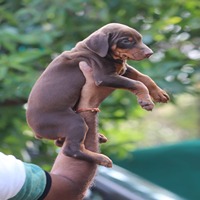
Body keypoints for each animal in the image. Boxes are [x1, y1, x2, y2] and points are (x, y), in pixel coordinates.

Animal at [26, 23, 169, 167]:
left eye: (140, 39)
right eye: (126, 41)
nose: (150, 53)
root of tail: (35, 131)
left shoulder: (122, 69)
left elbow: (143, 77)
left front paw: (159, 94)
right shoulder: (104, 77)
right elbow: (137, 83)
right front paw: (146, 101)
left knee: (60, 142)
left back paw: (98, 138)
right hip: (73, 121)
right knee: (71, 149)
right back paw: (101, 158)